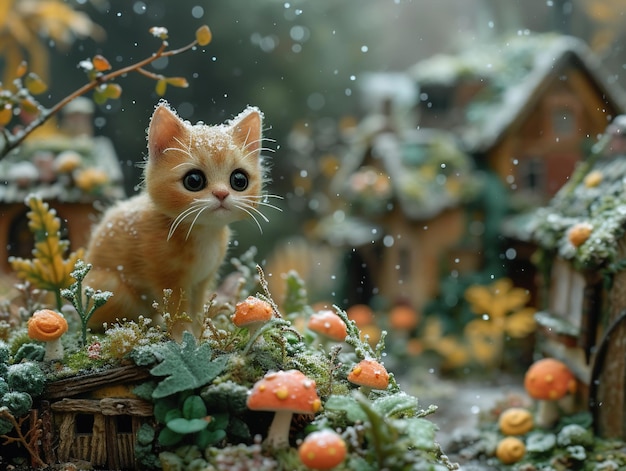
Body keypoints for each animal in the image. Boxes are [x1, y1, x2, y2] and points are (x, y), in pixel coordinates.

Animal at [84, 102, 266, 340]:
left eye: (239, 180)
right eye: (194, 180)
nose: (222, 194)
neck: (203, 233)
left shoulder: (201, 281)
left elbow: (197, 310)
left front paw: (201, 335)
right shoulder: (168, 281)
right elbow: (178, 314)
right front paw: (184, 339)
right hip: (115, 289)